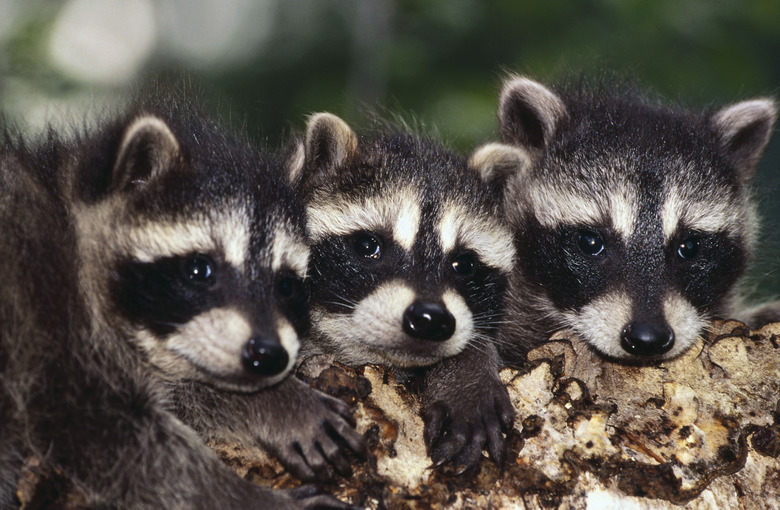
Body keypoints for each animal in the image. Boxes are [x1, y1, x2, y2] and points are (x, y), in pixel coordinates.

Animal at [0, 101, 360, 508]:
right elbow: (122, 445)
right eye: (200, 270)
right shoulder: (49, 323)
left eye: (285, 285)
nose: (268, 355)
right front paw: (248, 497)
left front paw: (273, 400)